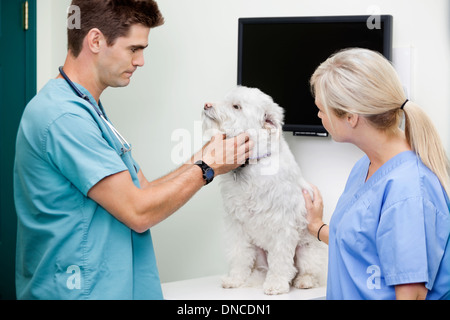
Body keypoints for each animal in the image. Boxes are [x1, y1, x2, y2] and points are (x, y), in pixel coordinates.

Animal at [204, 85, 326, 296]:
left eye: (236, 106)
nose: (206, 105)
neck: (252, 164)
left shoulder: (282, 225)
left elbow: (280, 260)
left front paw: (276, 284)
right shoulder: (236, 225)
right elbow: (239, 254)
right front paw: (235, 279)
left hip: (307, 250)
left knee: (305, 271)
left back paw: (304, 281)